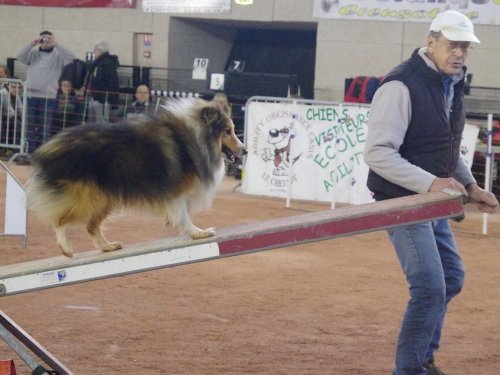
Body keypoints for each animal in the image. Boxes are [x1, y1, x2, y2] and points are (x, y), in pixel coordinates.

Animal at [26, 98, 246, 258]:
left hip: (104, 198)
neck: (198, 135)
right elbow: (183, 215)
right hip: (86, 198)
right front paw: (198, 232)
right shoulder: (176, 193)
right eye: (228, 131)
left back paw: (107, 246)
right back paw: (66, 248)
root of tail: (50, 148)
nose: (245, 150)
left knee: (90, 227)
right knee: (60, 220)